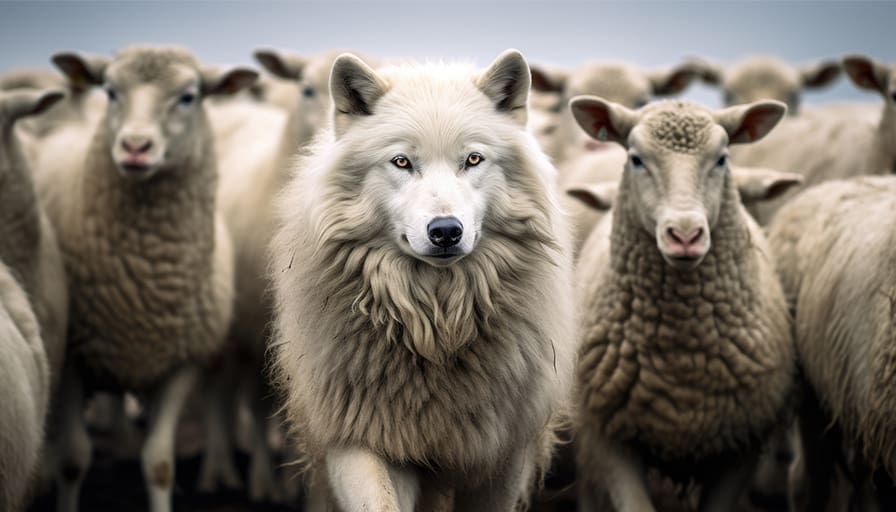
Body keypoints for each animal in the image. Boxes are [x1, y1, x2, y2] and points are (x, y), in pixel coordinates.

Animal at [36, 45, 255, 512]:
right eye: (110, 91)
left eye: (189, 96)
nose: (135, 147)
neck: (145, 277)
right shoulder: (72, 358)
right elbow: (72, 459)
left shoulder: (182, 362)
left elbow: (159, 462)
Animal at [270, 49, 576, 511]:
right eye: (402, 162)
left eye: (473, 159)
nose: (445, 231)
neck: (437, 327)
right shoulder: (360, 438)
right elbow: (379, 503)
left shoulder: (504, 456)